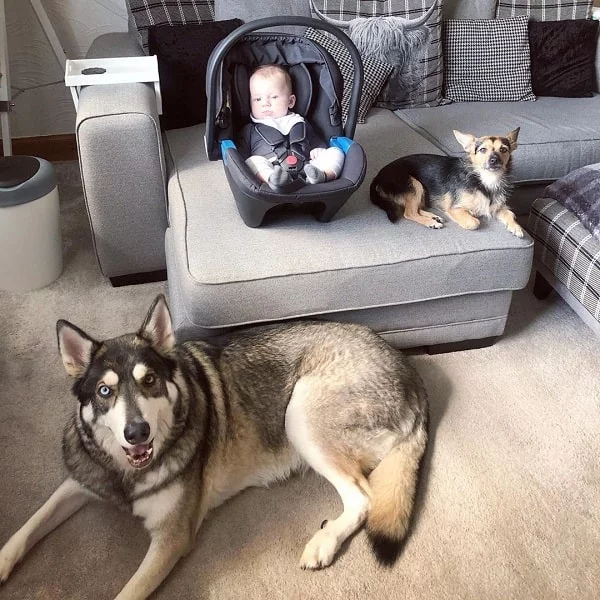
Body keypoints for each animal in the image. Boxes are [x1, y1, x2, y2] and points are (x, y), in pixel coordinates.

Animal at [1, 296, 432, 600]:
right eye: (105, 391)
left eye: (150, 381)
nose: (137, 432)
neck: (126, 473)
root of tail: (411, 373)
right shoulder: (78, 481)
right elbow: (27, 527)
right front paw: (4, 562)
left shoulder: (171, 539)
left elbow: (127, 592)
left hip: (300, 415)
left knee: (362, 498)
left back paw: (323, 542)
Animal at [372, 129, 524, 237]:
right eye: (483, 150)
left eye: (503, 150)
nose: (494, 160)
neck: (484, 180)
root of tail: (378, 176)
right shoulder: (455, 208)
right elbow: (474, 222)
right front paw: (473, 216)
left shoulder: (498, 207)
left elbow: (510, 214)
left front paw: (516, 227)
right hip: (415, 185)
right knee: (409, 212)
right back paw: (431, 223)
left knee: (416, 208)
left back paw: (434, 217)